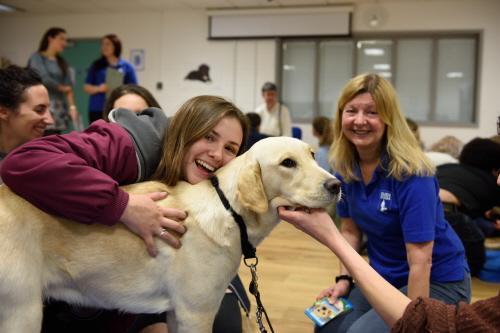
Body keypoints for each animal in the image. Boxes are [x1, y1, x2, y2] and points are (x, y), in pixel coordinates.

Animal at [0, 136, 340, 330]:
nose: (336, 185)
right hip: (22, 313)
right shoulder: (196, 313)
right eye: (287, 163)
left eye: (312, 155)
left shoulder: (179, 313)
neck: (229, 209)